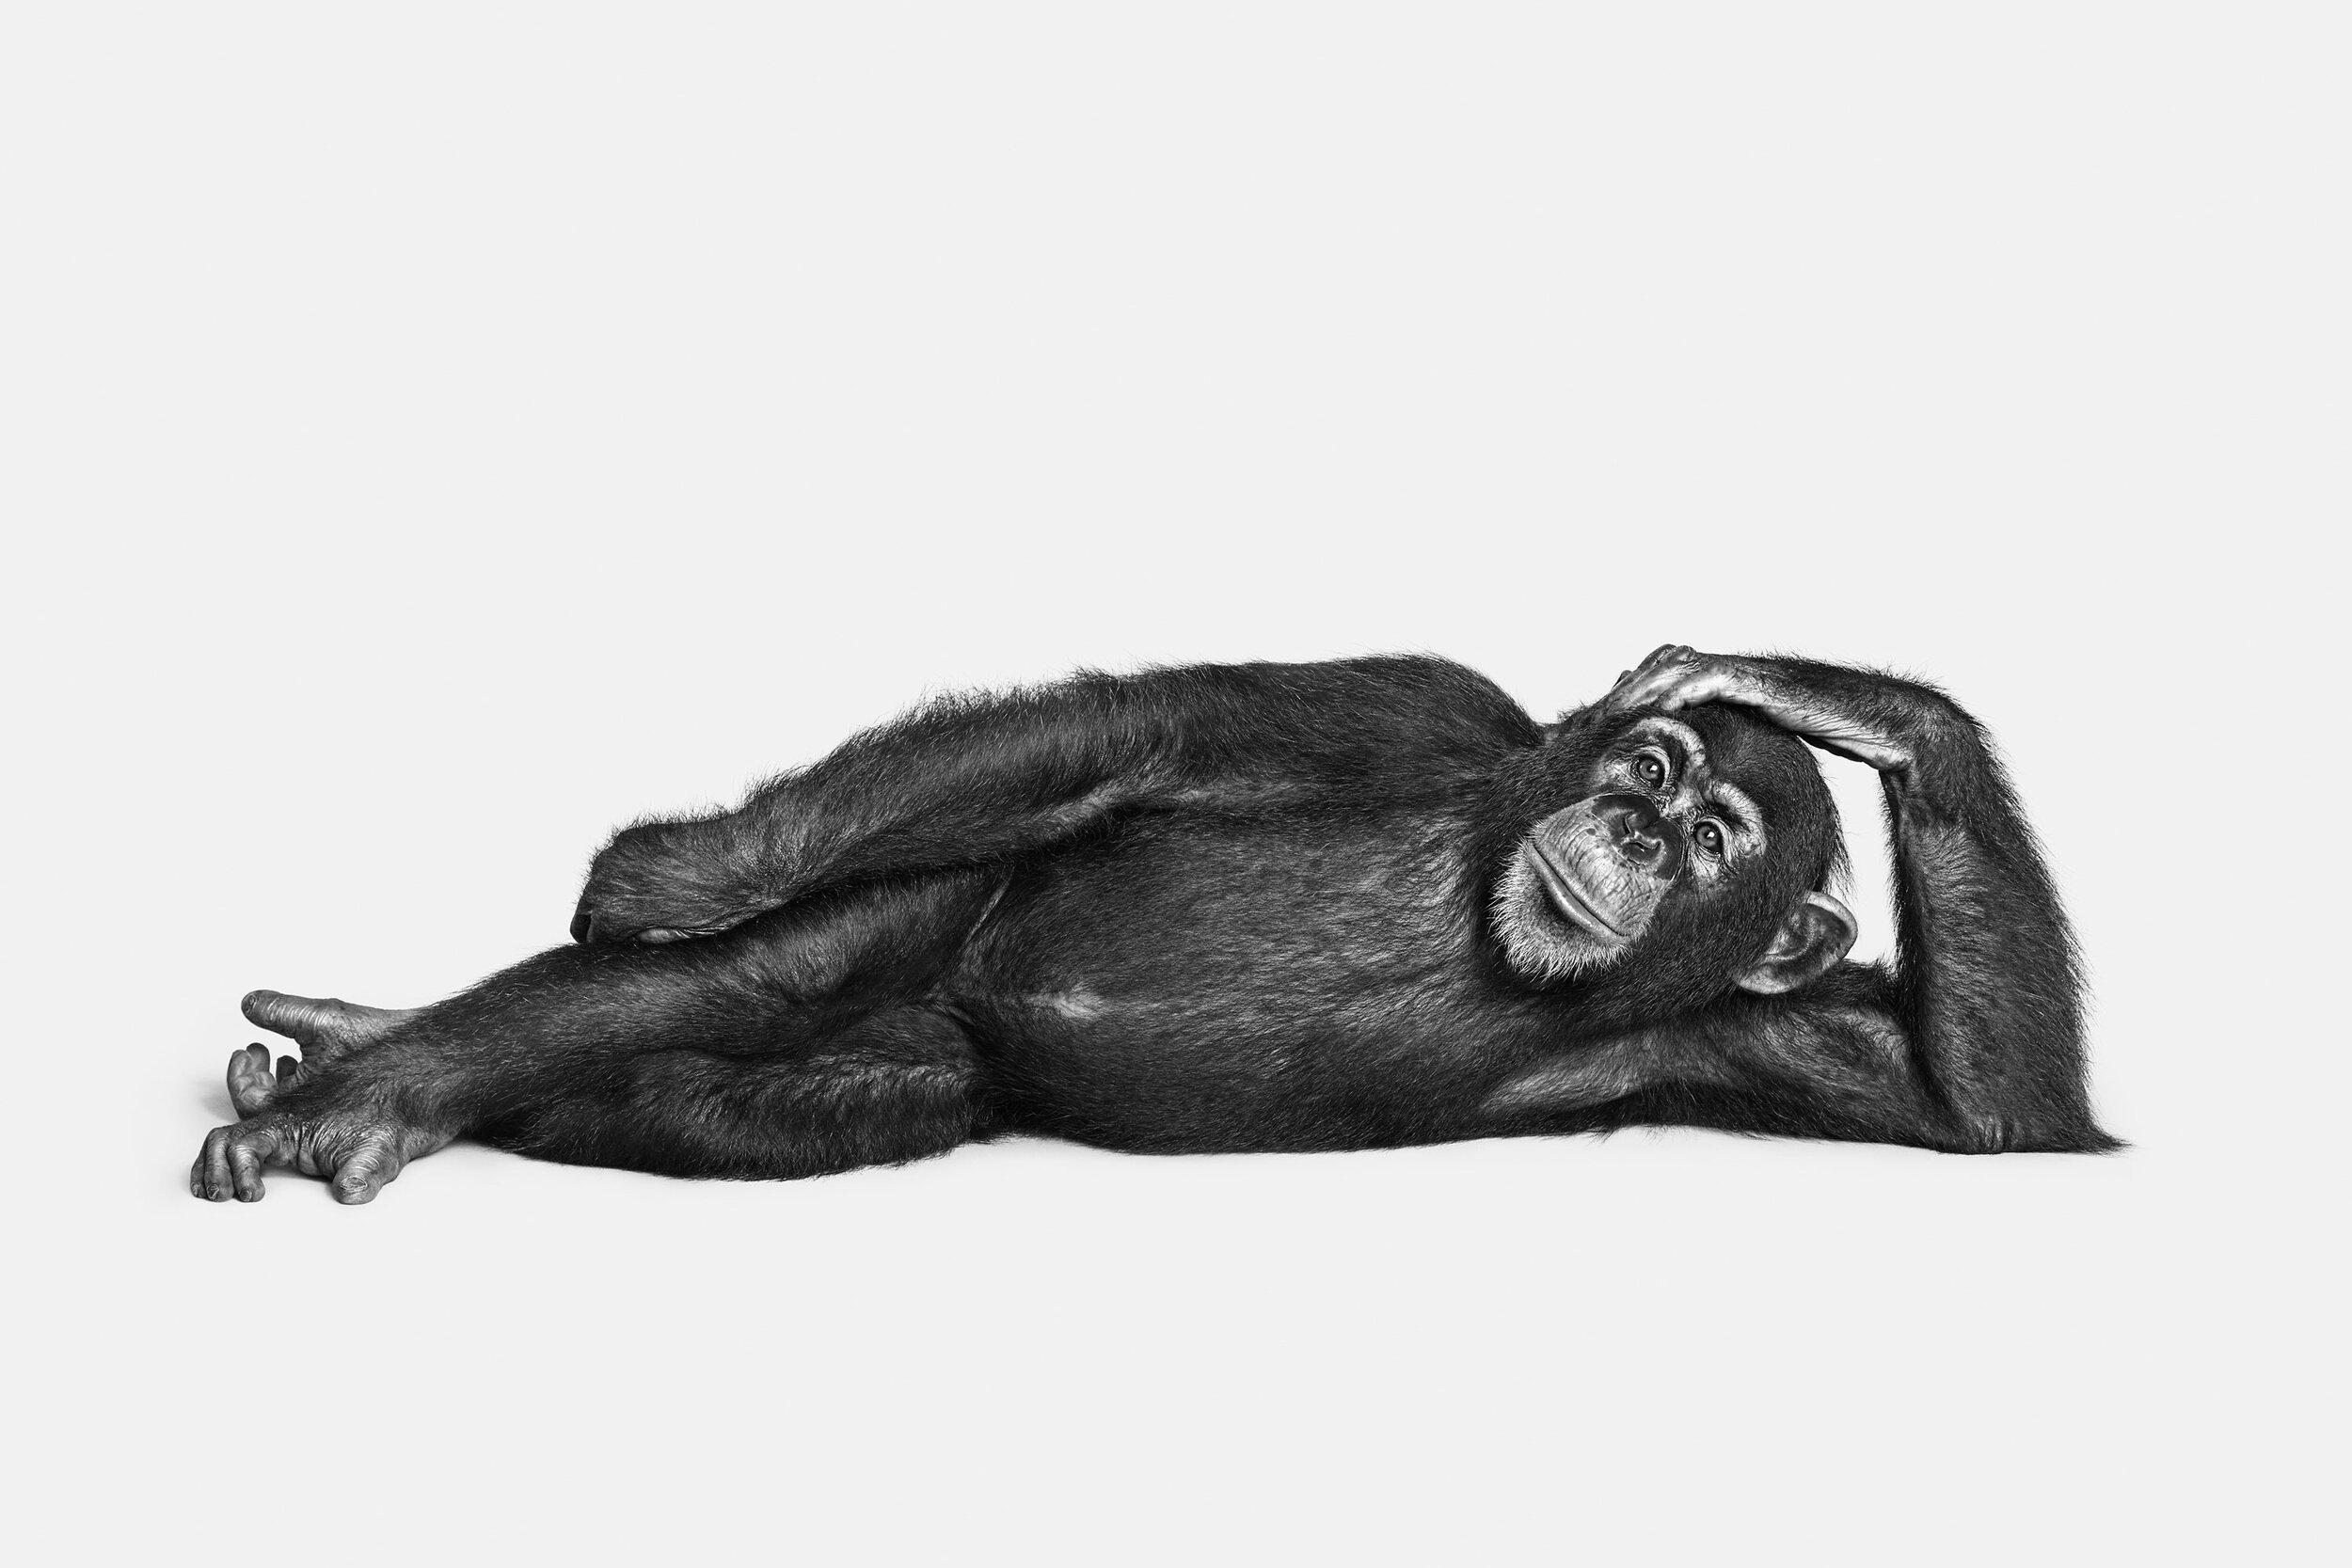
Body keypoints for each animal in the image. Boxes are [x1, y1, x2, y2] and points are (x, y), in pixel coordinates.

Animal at [192, 645, 2113, 1204]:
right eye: (1647, 766)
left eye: (1715, 837)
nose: (1638, 830)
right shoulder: (1431, 710)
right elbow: (1151, 726)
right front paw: (668, 867)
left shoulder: (1746, 1027)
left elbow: (1982, 1107)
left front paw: (1860, 707)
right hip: (946, 897)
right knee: (754, 973)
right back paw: (375, 1086)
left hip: (929, 1059)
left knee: (802, 1095)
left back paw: (370, 1072)